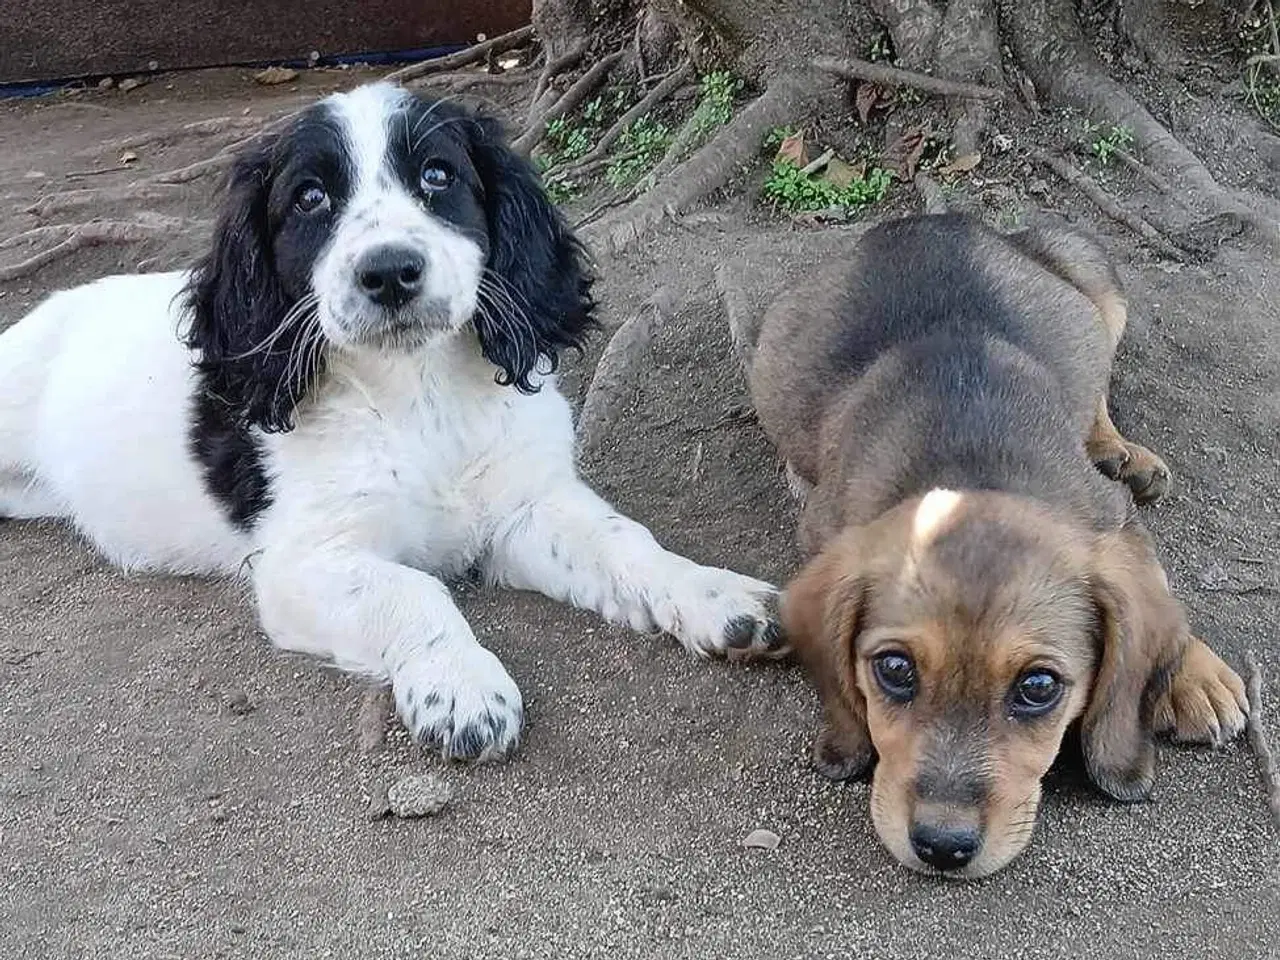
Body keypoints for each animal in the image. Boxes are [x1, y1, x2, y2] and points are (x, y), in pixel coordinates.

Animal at [0, 82, 778, 757]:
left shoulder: (527, 509)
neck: (417, 396)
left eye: (438, 175)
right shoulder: (303, 561)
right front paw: (461, 686)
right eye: (310, 197)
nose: (390, 272)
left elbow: (627, 542)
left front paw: (714, 594)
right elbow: (415, 591)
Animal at [747, 216, 1249, 880]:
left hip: (1095, 281)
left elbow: (1156, 587)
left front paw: (1195, 676)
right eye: (894, 670)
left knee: (1097, 392)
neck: (970, 466)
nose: (942, 846)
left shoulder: (1113, 520)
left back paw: (1122, 454)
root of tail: (923, 220)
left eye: (1039, 687)